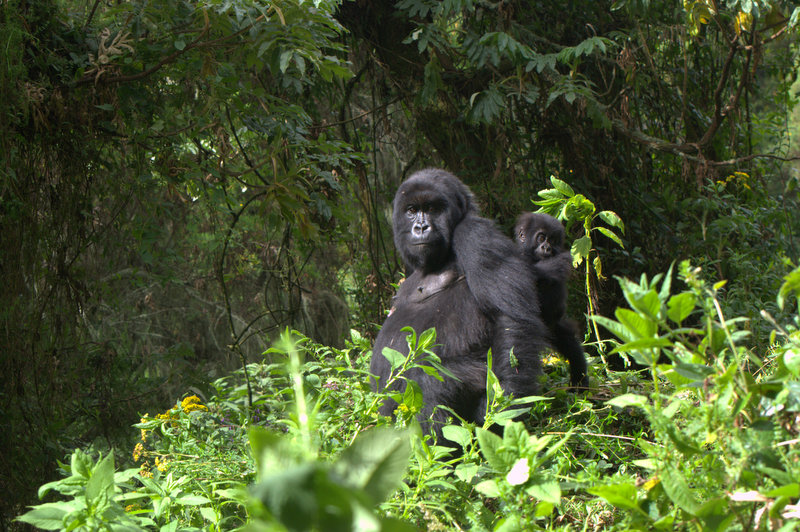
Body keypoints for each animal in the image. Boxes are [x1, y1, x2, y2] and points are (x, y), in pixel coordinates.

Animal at [372, 168, 548, 438]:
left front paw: (497, 413)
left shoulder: (476, 233)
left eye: (432, 209)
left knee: (429, 380)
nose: (420, 227)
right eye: (411, 210)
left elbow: (508, 320)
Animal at [520, 212, 588, 386]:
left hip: (553, 328)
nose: (547, 247)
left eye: (552, 240)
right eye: (541, 237)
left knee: (570, 345)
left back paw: (580, 384)